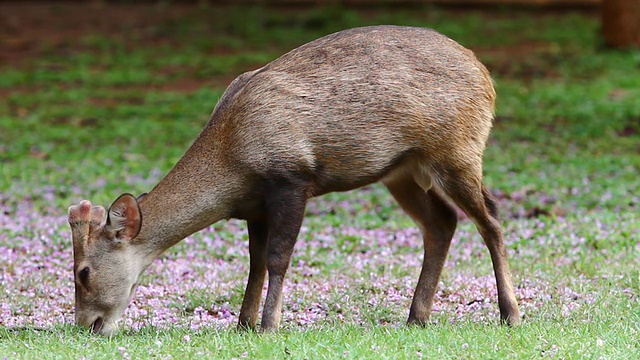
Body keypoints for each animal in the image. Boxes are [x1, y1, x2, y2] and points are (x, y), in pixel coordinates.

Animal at [69, 24, 520, 334]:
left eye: (83, 272)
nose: (85, 326)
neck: (234, 163)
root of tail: (487, 76)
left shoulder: (290, 178)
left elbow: (277, 258)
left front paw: (269, 325)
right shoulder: (254, 205)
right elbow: (254, 263)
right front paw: (243, 323)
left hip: (457, 149)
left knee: (491, 218)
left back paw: (510, 314)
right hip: (402, 170)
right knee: (441, 221)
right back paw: (416, 316)